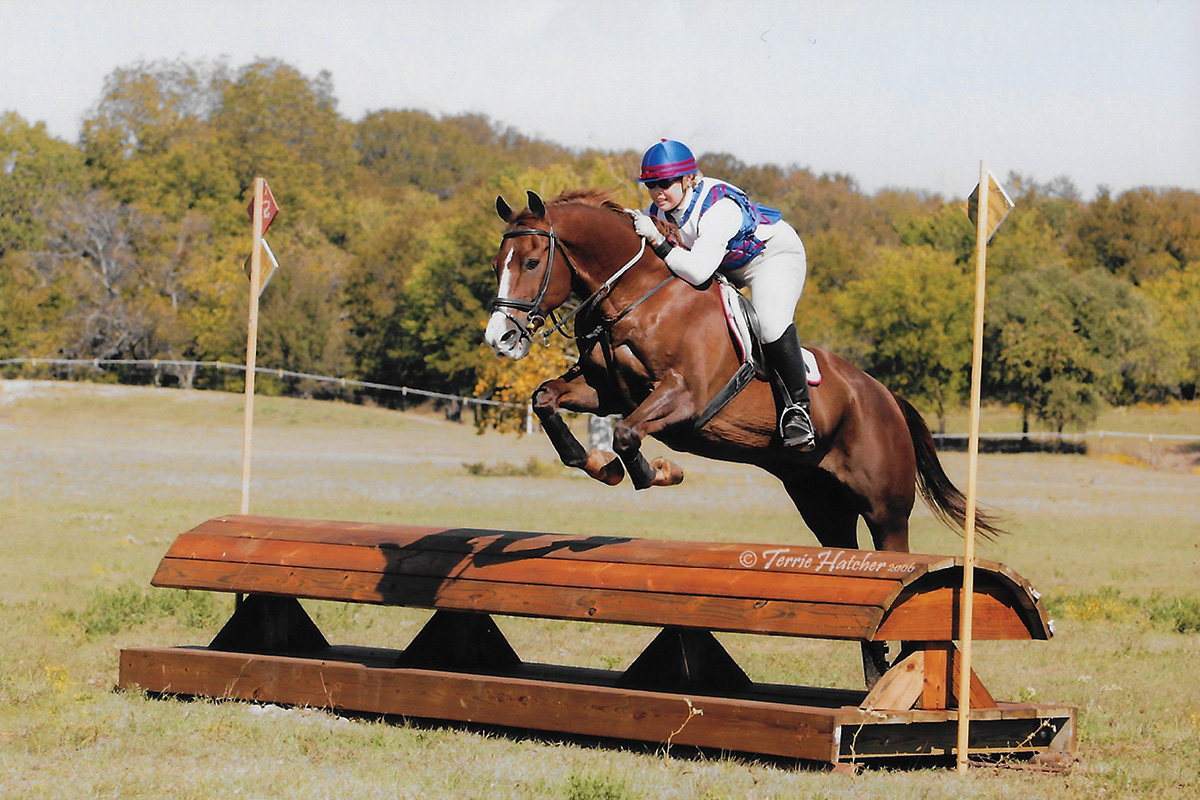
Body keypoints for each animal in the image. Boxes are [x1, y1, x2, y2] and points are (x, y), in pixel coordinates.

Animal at [482, 190, 998, 681]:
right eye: (495, 264)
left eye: (531, 263)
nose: (499, 339)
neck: (638, 297)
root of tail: (886, 396)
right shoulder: (606, 392)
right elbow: (546, 400)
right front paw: (597, 464)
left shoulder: (684, 398)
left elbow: (628, 435)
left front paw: (661, 471)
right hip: (820, 503)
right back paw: (875, 670)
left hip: (885, 509)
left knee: (895, 561)